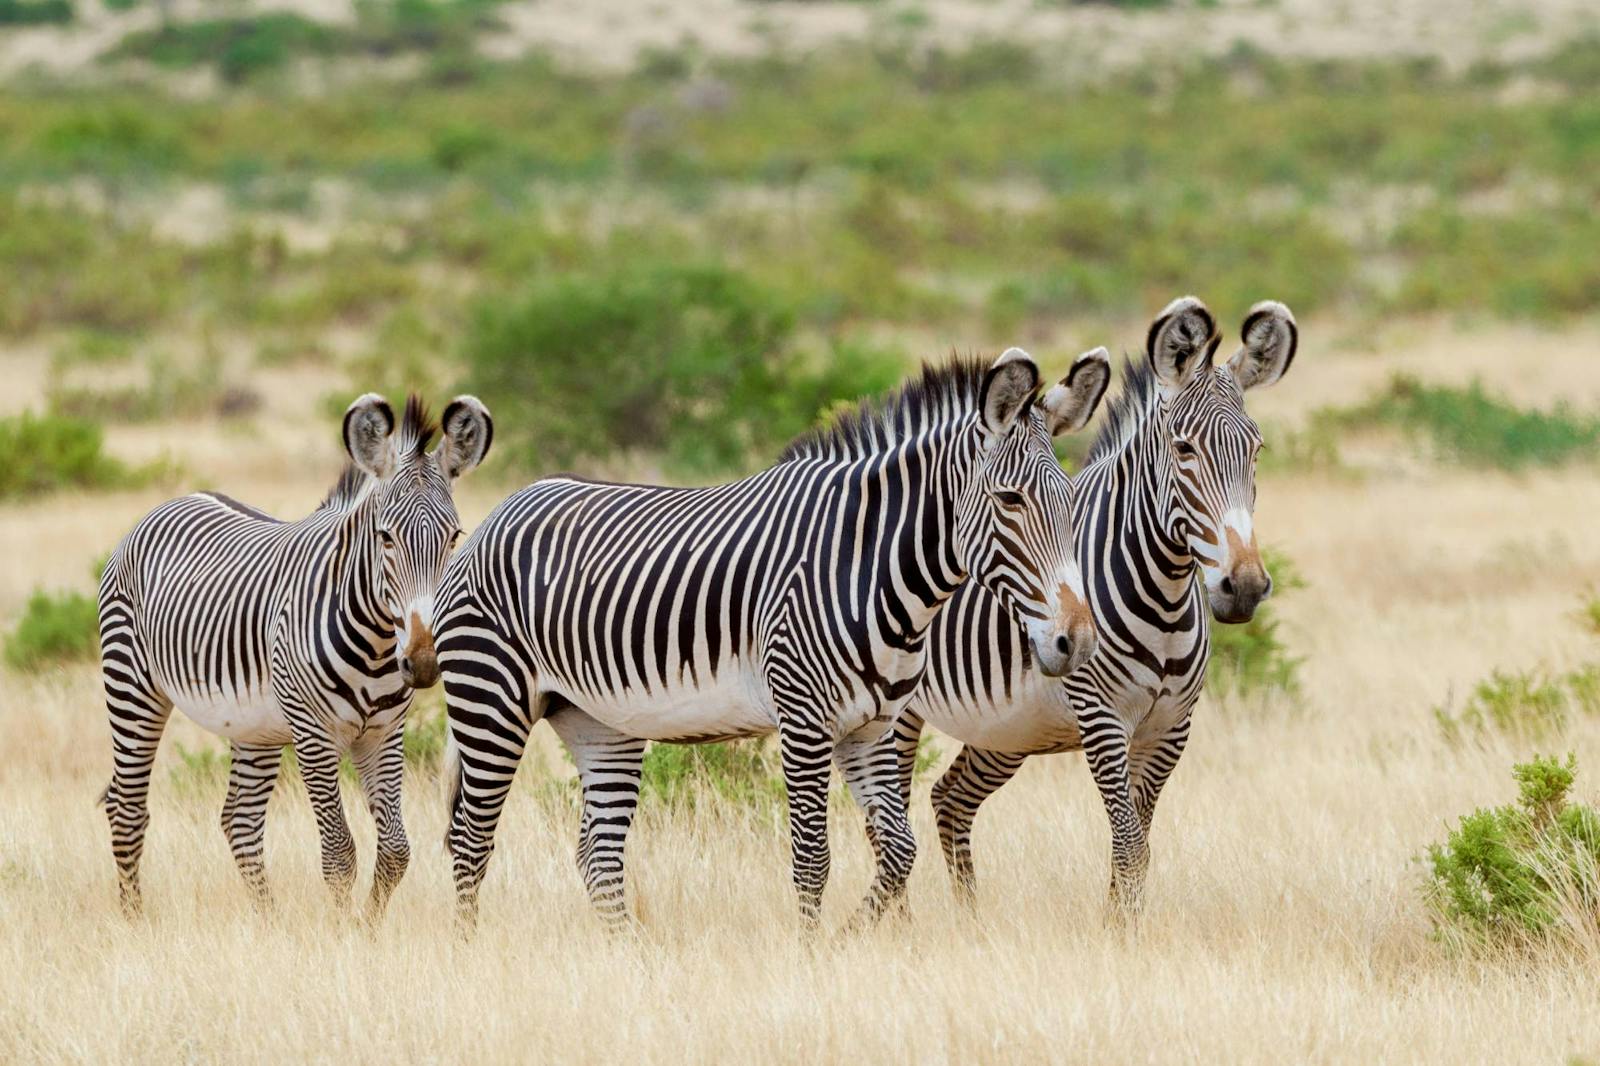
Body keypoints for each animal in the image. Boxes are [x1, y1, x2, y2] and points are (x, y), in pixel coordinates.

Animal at [97, 393, 492, 918]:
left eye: (454, 536)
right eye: (385, 538)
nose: (425, 662)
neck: (376, 645)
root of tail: (175, 500)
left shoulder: (384, 735)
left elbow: (394, 851)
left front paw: (368, 928)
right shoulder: (313, 735)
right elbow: (339, 853)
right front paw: (341, 931)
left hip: (254, 726)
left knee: (240, 821)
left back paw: (268, 922)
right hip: (132, 687)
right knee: (127, 809)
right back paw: (135, 920)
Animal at [436, 348, 1111, 933]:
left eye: (1073, 501)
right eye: (1011, 500)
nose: (1076, 642)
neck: (868, 566)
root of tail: (500, 512)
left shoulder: (871, 726)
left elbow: (897, 851)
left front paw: (851, 938)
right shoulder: (804, 718)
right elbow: (812, 859)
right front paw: (811, 958)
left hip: (599, 722)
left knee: (596, 853)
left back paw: (627, 959)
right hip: (490, 700)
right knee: (471, 839)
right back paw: (471, 952)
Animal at [872, 296, 1299, 915]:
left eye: (1256, 450)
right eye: (1184, 449)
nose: (1242, 586)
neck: (1165, 598)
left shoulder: (1170, 728)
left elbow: (1136, 848)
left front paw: (1124, 926)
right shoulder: (1103, 720)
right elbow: (1129, 845)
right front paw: (1120, 932)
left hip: (1008, 730)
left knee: (950, 799)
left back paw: (971, 920)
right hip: (899, 713)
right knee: (888, 816)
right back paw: (903, 923)